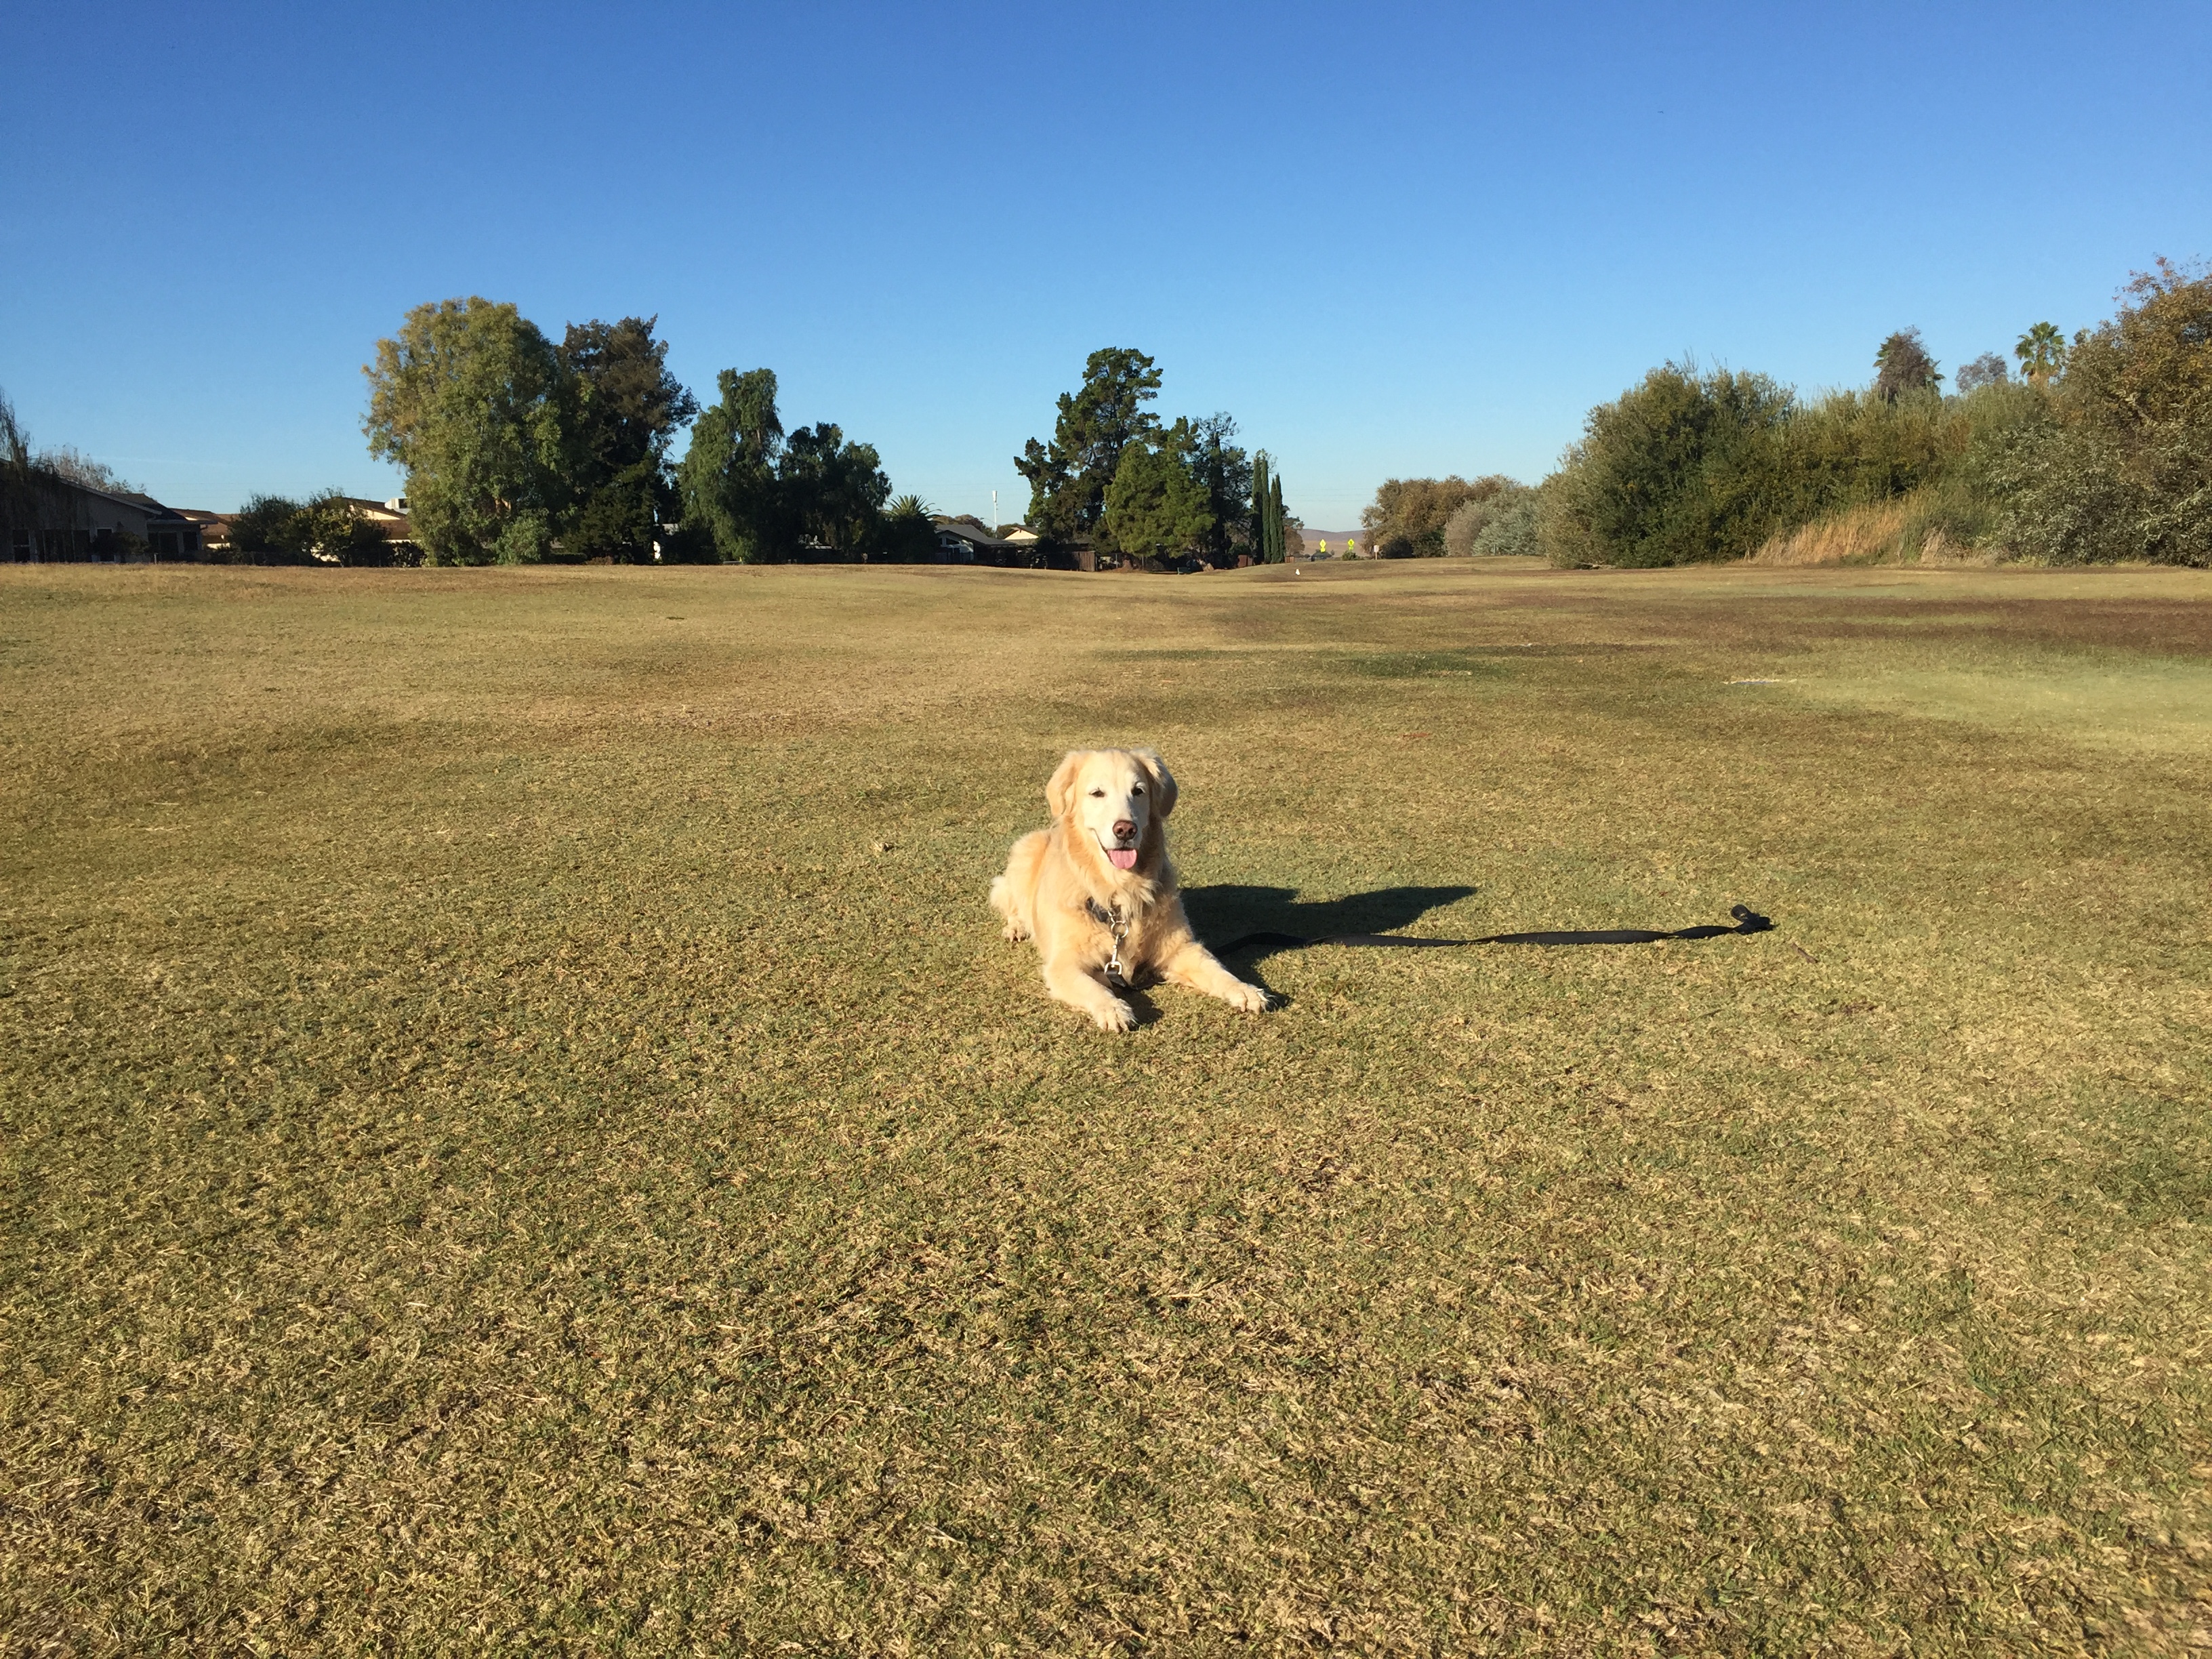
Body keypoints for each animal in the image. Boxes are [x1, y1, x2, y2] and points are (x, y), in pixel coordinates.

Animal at [989, 748, 1271, 1031]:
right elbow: (1093, 987)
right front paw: (1113, 1008)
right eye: (1097, 793)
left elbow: (1216, 969)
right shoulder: (1063, 965)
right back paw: (1016, 928)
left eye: (1138, 791)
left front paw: (1245, 990)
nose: (1125, 829)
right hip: (1024, 852)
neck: (1119, 889)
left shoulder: (1180, 949)